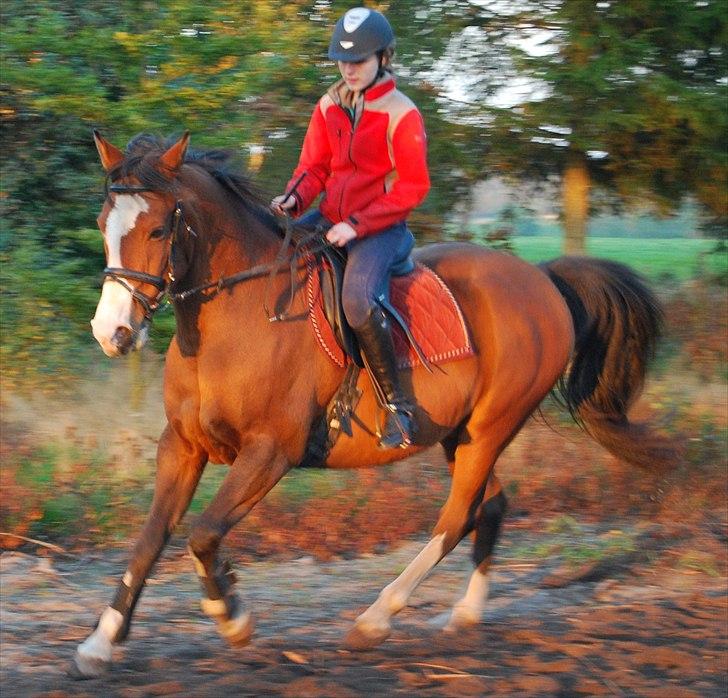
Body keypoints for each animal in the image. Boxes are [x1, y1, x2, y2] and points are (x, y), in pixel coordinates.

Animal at [72, 130, 672, 676]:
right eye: (103, 225)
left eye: (156, 228)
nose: (112, 333)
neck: (233, 320)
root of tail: (543, 280)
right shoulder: (182, 447)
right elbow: (152, 538)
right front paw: (100, 643)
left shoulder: (271, 452)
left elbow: (203, 533)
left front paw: (231, 615)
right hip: (459, 433)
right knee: (491, 505)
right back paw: (465, 615)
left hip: (492, 426)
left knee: (456, 517)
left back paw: (375, 619)